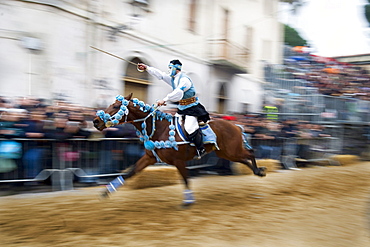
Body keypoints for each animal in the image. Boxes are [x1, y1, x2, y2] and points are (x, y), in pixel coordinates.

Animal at [93, 93, 266, 206]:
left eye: (116, 106)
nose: (95, 121)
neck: (160, 128)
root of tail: (236, 126)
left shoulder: (178, 160)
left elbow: (185, 179)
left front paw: (188, 199)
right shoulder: (150, 157)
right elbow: (130, 172)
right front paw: (108, 190)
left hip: (232, 150)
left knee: (250, 153)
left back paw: (260, 170)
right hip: (226, 153)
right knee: (243, 159)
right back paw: (257, 171)